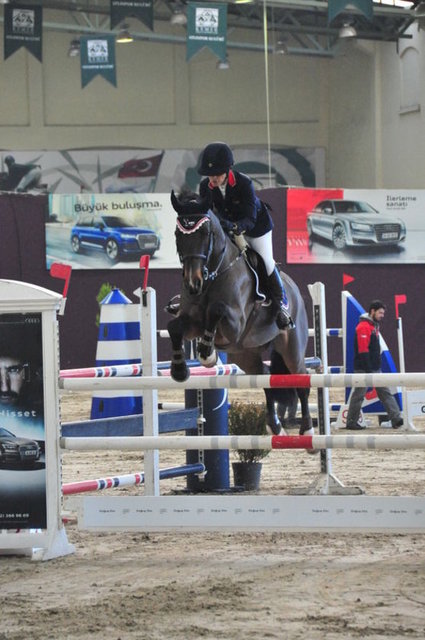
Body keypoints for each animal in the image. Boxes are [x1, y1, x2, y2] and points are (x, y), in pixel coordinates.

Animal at [167, 190, 313, 437]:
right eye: (178, 234)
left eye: (205, 233)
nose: (193, 284)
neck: (213, 273)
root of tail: (294, 290)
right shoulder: (192, 322)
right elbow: (174, 326)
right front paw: (179, 370)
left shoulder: (235, 324)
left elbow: (216, 310)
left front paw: (207, 354)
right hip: (245, 354)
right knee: (265, 376)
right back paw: (275, 427)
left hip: (291, 347)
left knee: (301, 379)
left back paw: (308, 431)